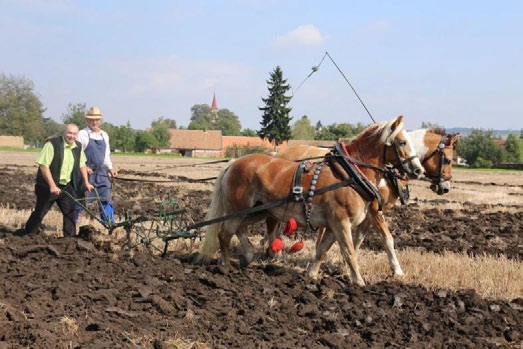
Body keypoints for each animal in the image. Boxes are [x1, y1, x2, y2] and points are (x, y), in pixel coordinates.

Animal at [198, 115, 426, 284]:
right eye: (402, 142)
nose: (418, 170)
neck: (351, 174)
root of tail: (233, 163)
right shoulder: (341, 221)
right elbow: (350, 252)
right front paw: (359, 282)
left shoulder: (335, 224)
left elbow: (323, 250)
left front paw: (312, 275)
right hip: (239, 209)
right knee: (225, 234)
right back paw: (225, 265)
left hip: (258, 211)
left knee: (240, 229)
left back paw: (247, 255)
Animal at [264, 128, 460, 278]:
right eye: (448, 160)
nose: (445, 188)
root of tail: (279, 153)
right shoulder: (375, 210)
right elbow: (387, 239)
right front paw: (397, 270)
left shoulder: (367, 212)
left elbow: (358, 238)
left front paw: (344, 263)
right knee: (273, 222)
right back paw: (273, 252)